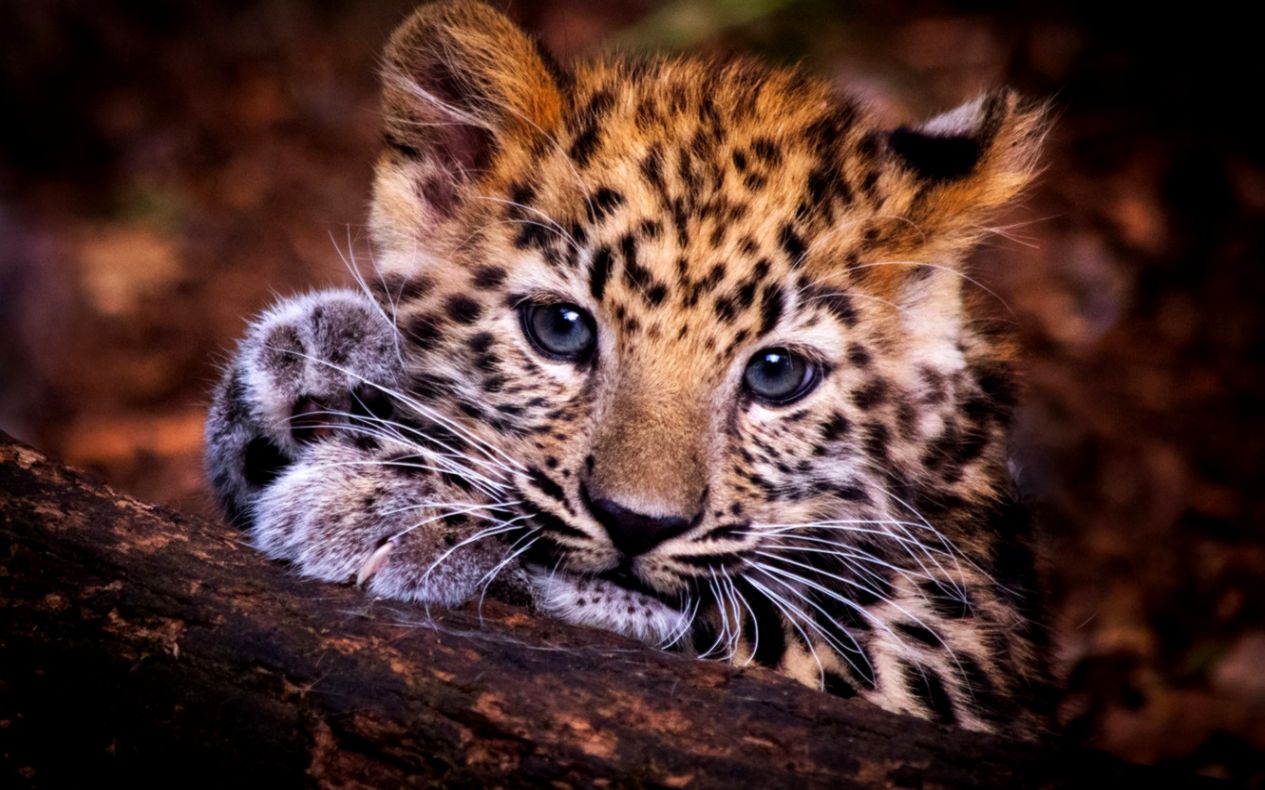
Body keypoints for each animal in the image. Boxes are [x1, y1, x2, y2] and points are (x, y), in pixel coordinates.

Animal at [205, 0, 1052, 736]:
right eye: (560, 330)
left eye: (776, 375)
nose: (637, 524)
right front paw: (319, 365)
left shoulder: (949, 651)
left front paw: (402, 506)